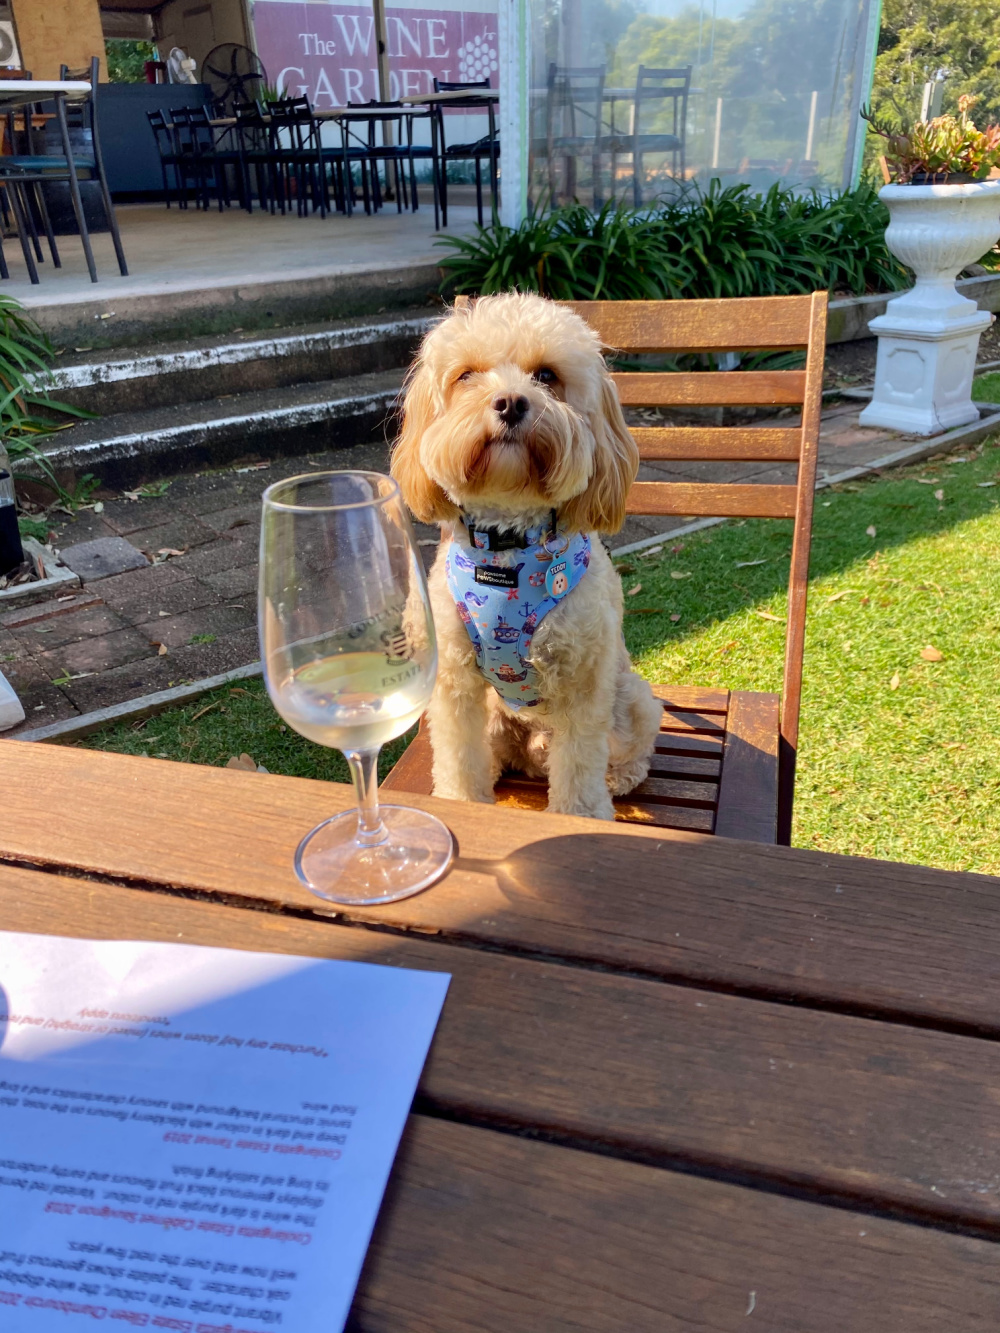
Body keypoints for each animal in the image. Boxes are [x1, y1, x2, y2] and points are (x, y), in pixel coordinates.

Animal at [394, 291, 666, 815]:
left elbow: (579, 765)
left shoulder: (584, 681)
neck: (508, 550)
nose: (510, 402)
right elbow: (458, 751)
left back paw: (618, 778)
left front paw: (582, 816)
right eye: (466, 376)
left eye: (546, 375)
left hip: (631, 697)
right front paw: (461, 800)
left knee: (628, 750)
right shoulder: (454, 681)